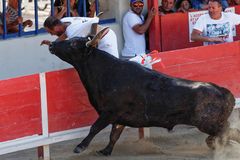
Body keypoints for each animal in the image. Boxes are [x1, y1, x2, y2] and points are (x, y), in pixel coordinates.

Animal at [48, 36, 240, 155]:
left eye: (73, 44)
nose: (51, 45)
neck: (106, 71)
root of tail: (224, 91)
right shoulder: (119, 117)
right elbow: (114, 135)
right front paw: (105, 151)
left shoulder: (109, 113)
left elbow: (95, 128)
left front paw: (80, 147)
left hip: (207, 124)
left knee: (227, 132)